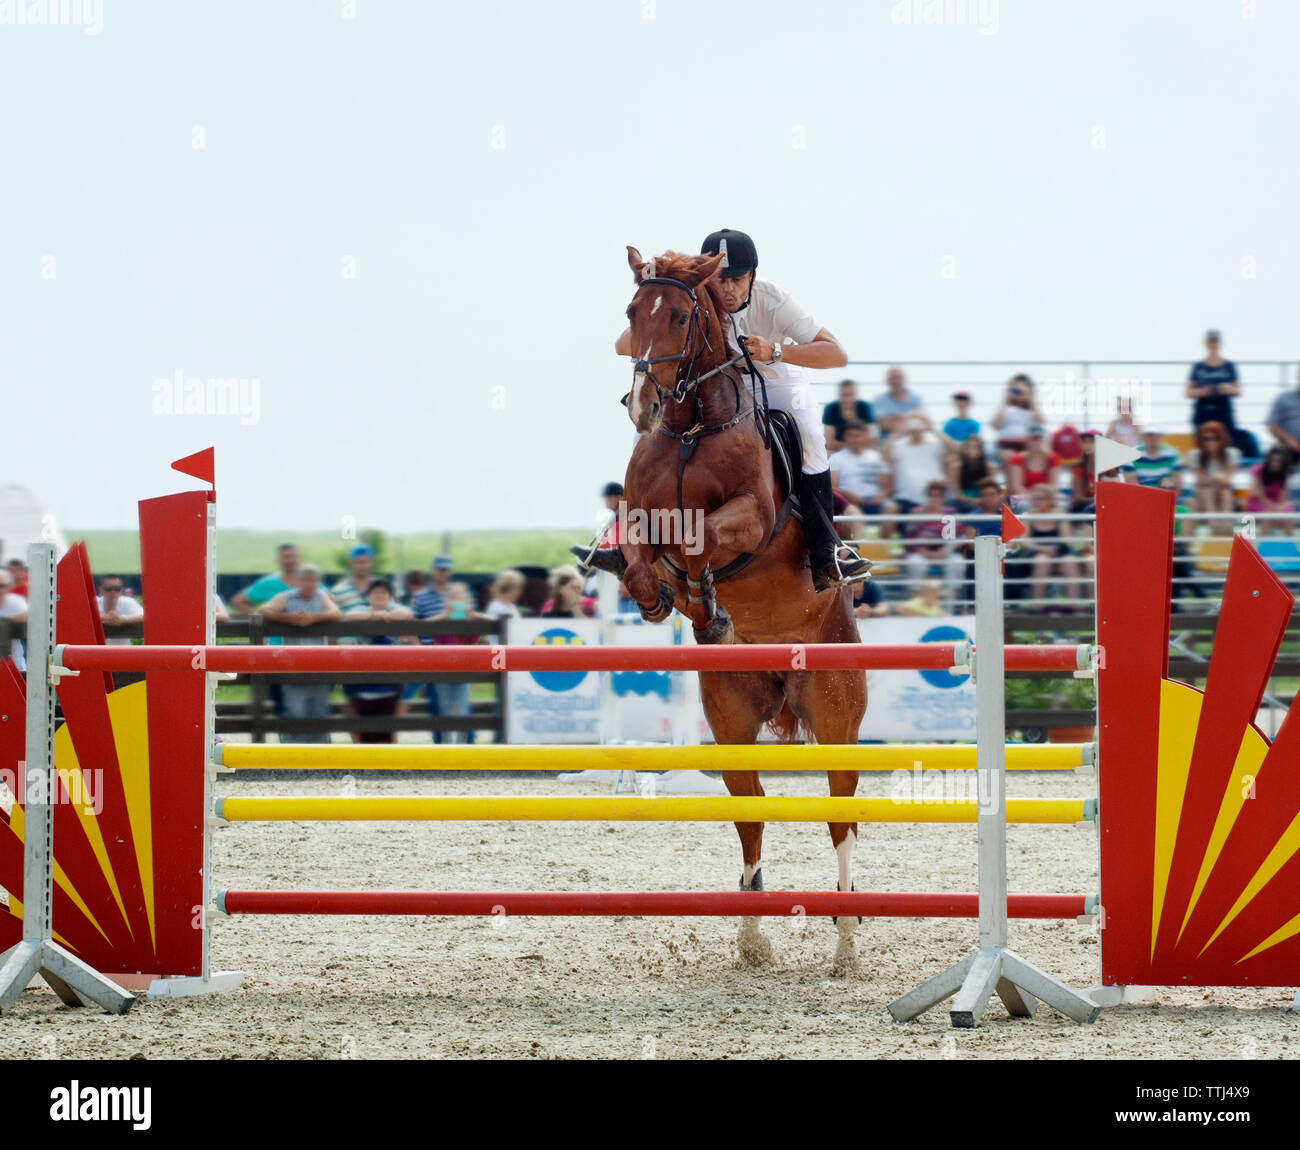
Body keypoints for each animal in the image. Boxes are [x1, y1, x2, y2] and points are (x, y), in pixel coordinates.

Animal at [613, 249, 868, 966]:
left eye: (679, 316)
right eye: (632, 313)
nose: (642, 407)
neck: (691, 428)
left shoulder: (752, 520)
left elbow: (705, 538)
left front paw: (707, 598)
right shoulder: (640, 517)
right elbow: (642, 556)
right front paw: (664, 598)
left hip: (836, 719)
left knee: (841, 815)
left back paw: (845, 937)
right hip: (730, 722)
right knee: (750, 812)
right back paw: (753, 934)